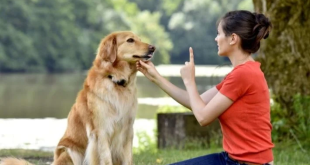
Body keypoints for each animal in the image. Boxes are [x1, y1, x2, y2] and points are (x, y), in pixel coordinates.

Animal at [0, 31, 155, 165]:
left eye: (139, 39)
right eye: (130, 40)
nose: (153, 48)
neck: (115, 80)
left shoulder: (128, 131)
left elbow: (128, 159)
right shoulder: (101, 131)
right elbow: (106, 159)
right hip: (69, 151)